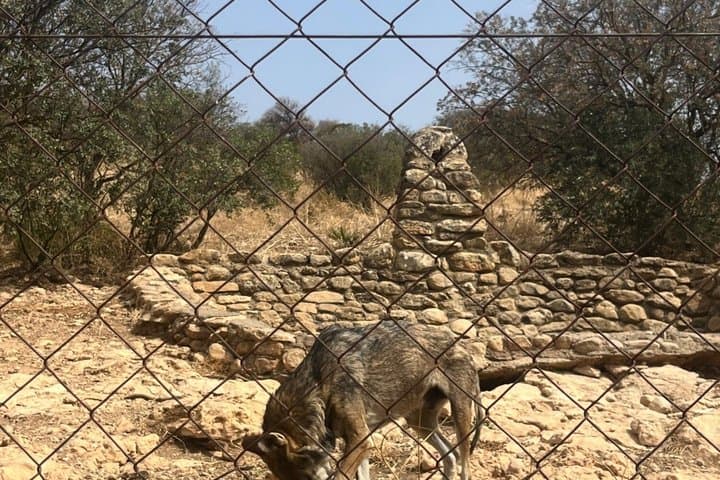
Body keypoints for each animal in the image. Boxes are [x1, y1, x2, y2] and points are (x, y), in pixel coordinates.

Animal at [242, 321, 483, 480]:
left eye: (305, 477)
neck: (318, 384)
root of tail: (463, 348)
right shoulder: (358, 442)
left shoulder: (359, 439)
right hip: (420, 424)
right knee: (450, 456)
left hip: (460, 417)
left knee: (464, 465)